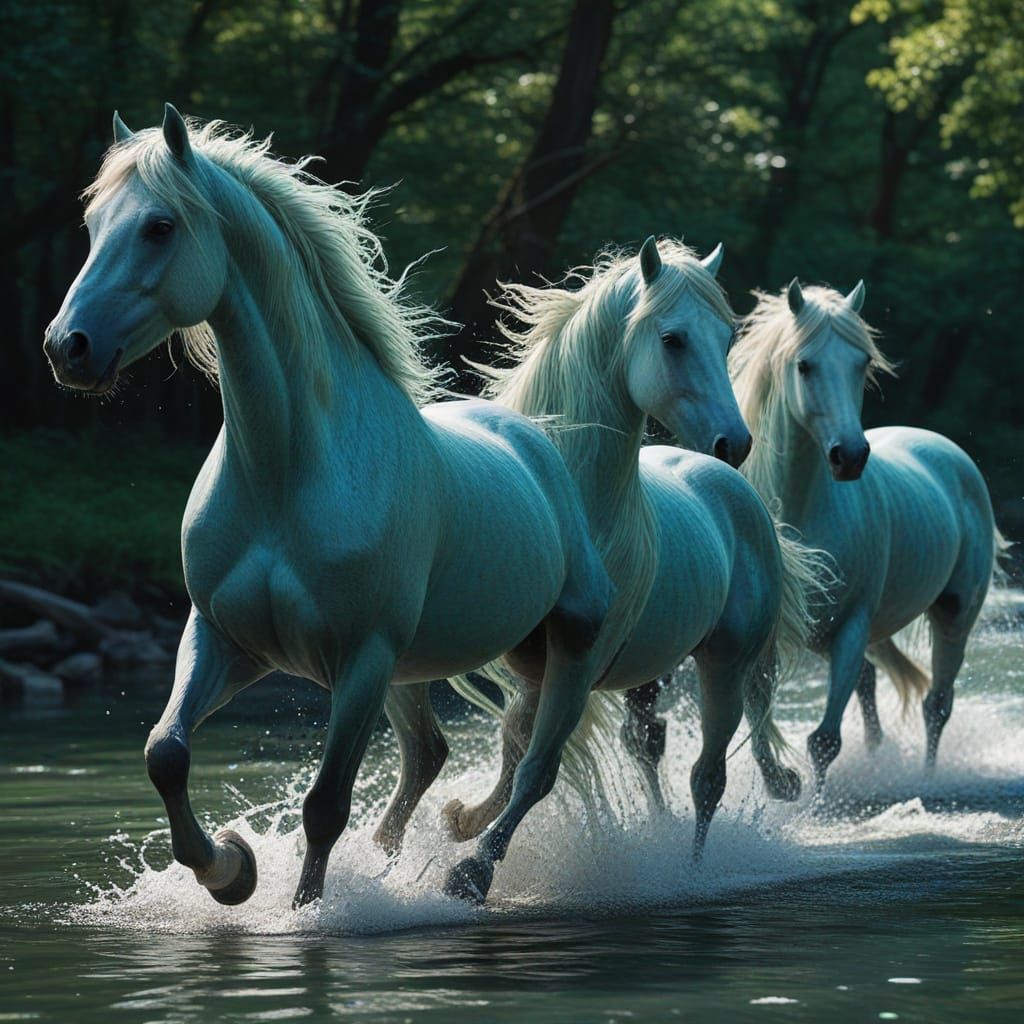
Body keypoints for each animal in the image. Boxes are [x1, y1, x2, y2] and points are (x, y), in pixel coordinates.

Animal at [43, 104, 617, 909]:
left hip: (567, 644)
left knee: (534, 769)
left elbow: (324, 806)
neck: (288, 475)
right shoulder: (224, 639)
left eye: (159, 226)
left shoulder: (361, 660)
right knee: (437, 757)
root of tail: (535, 440)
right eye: (94, 225)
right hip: (430, 669)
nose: (68, 347)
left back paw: (469, 873)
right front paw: (231, 870)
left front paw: (306, 911)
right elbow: (166, 752)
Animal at [426, 238, 823, 900]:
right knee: (647, 745)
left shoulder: (577, 662)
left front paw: (472, 871)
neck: (574, 503)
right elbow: (512, 752)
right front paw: (460, 821)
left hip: (723, 667)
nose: (735, 442)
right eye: (673, 339)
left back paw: (687, 872)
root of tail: (738, 495)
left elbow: (537, 769)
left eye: (727, 336)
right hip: (649, 674)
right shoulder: (534, 668)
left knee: (707, 778)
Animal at [730, 279, 1004, 789]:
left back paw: (927, 778)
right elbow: (759, 720)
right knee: (872, 685)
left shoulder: (852, 627)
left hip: (953, 616)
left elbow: (824, 741)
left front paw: (815, 806)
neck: (804, 512)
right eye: (805, 364)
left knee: (936, 704)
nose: (851, 456)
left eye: (861, 363)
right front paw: (781, 785)